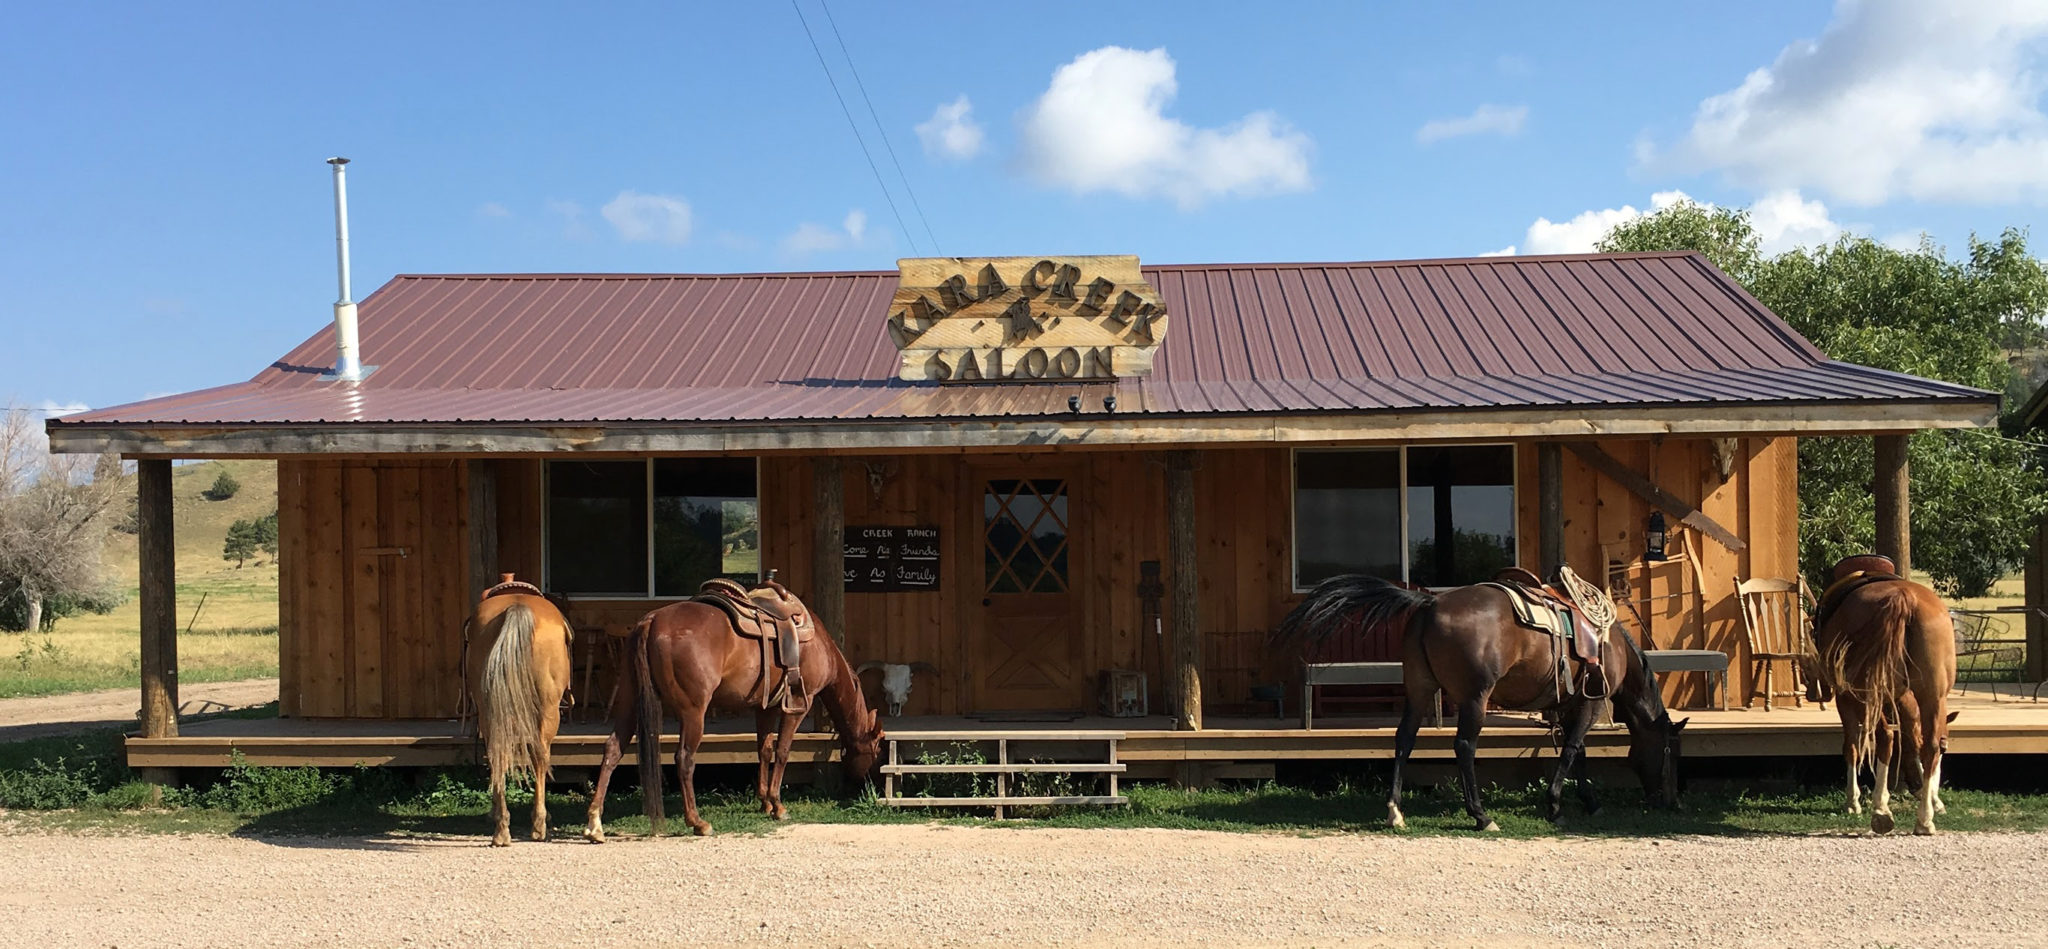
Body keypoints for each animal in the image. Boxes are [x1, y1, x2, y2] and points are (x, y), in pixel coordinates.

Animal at [468, 594, 581, 848]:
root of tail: (517, 606)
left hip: (490, 713)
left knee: (497, 755)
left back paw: (501, 830)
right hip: (548, 711)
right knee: (540, 756)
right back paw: (538, 825)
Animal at [585, 590, 888, 844]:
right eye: (876, 749)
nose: (869, 784)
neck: (819, 644)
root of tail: (651, 621)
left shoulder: (764, 708)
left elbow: (764, 750)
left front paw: (764, 802)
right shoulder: (800, 705)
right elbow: (782, 752)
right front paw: (778, 806)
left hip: (629, 704)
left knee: (612, 749)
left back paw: (595, 824)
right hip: (693, 712)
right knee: (684, 758)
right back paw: (698, 822)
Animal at [1269, 573, 1687, 832]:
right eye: (1671, 752)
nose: (1669, 801)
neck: (1612, 646)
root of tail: (1428, 604)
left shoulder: (1567, 704)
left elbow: (1578, 754)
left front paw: (1587, 801)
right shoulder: (1591, 702)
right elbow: (1572, 751)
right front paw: (1555, 805)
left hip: (1419, 690)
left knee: (1404, 739)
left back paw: (1395, 810)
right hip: (1475, 698)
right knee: (1464, 746)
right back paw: (1481, 816)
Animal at [1818, 561, 1957, 836]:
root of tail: (1904, 598)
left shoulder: (1845, 698)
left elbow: (1852, 746)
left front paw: (1853, 801)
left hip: (1870, 693)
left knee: (1884, 737)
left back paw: (1880, 810)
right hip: (1932, 693)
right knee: (1927, 746)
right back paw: (1924, 819)